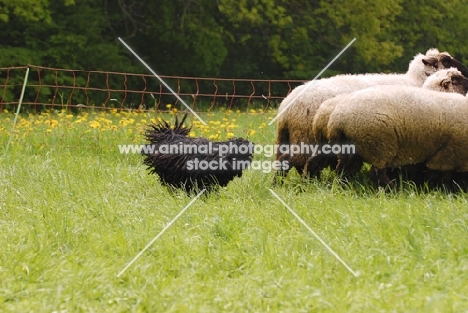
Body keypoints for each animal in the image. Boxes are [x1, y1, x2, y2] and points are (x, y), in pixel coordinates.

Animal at [274, 47, 468, 182]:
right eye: (447, 61)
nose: (467, 72)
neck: (417, 81)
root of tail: (286, 107)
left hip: (296, 137)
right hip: (305, 137)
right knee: (291, 161)